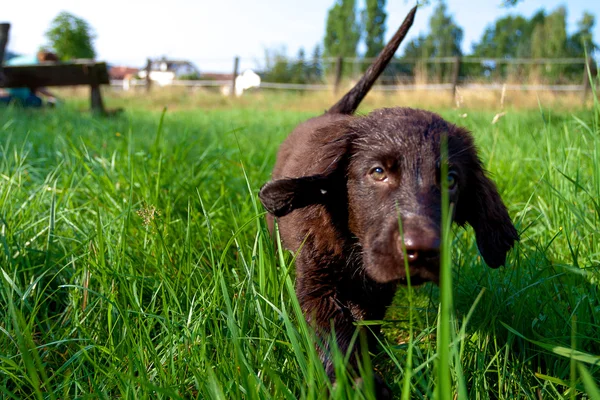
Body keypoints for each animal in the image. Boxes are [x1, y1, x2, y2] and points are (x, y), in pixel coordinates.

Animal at [258, 4, 516, 392]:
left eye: (451, 179)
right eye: (378, 172)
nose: (421, 251)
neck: (355, 247)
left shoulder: (379, 292)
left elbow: (366, 328)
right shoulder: (316, 283)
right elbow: (336, 335)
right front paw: (359, 382)